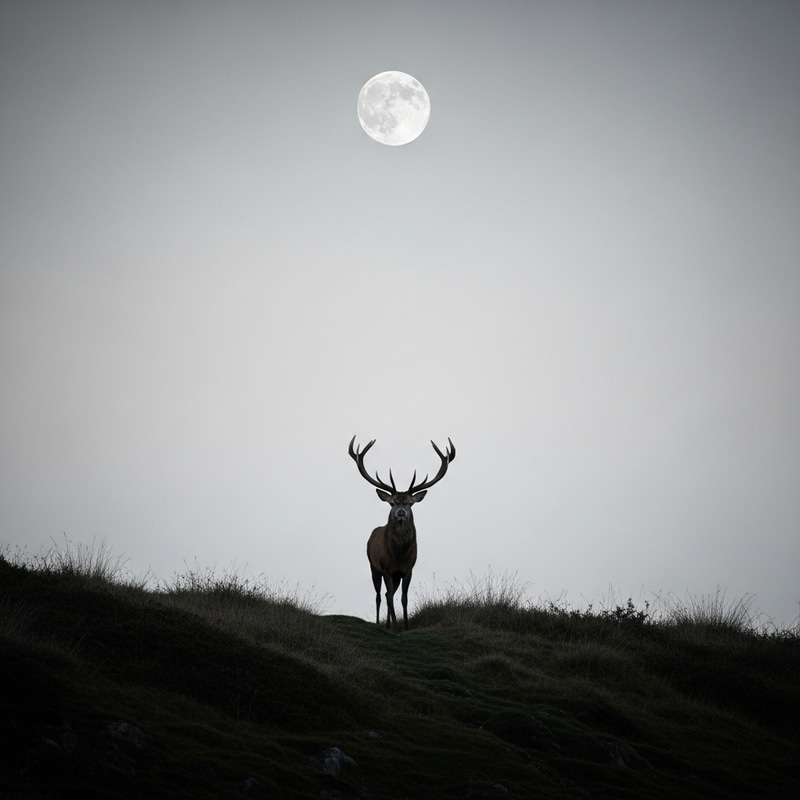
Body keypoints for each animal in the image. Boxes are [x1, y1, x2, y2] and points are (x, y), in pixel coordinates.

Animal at [348, 435, 456, 630]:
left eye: (410, 503)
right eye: (392, 503)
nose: (401, 513)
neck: (398, 556)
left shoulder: (408, 569)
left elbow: (404, 599)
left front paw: (405, 627)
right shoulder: (386, 568)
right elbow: (390, 598)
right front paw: (395, 626)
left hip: (394, 575)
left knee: (386, 595)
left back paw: (389, 624)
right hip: (373, 567)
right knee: (379, 596)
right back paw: (381, 624)